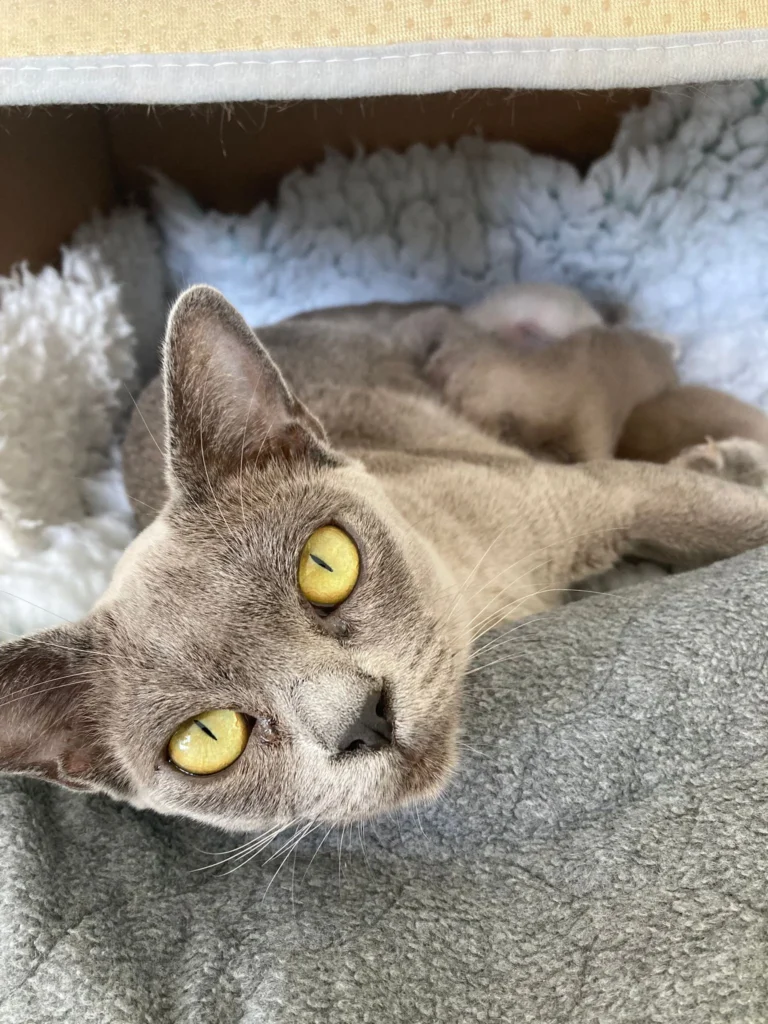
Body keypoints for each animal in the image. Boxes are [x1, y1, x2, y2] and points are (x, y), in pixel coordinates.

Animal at [1, 282, 768, 839]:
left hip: (530, 397)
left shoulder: (606, 497)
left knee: (618, 353)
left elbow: (728, 521)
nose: (360, 720)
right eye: (206, 739)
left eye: (325, 564)